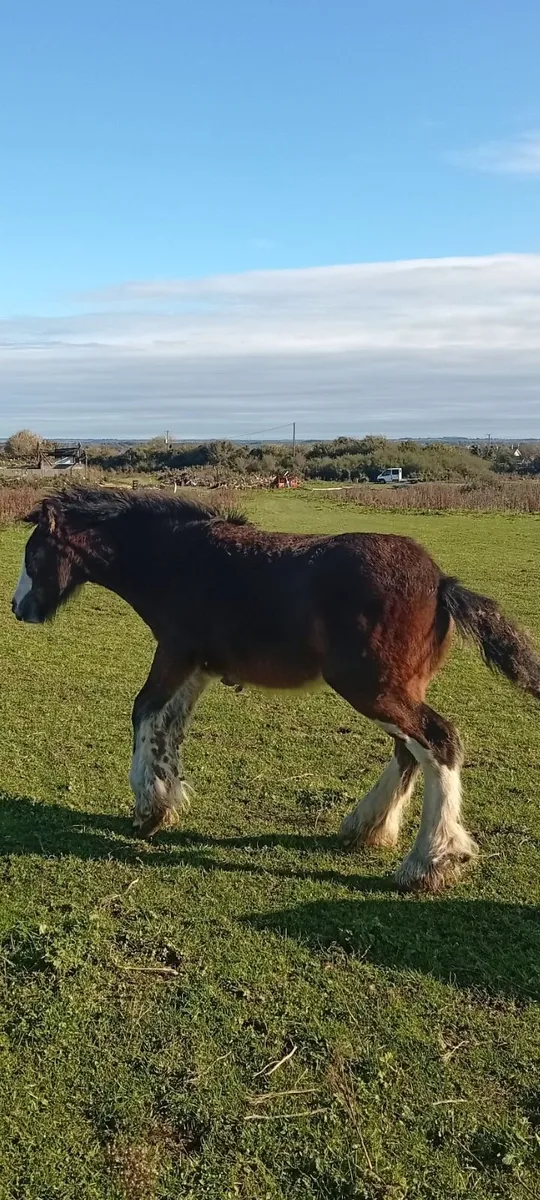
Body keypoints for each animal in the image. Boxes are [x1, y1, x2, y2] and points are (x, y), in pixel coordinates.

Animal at [12, 487, 540, 892]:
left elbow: (144, 710)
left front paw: (148, 807)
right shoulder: (199, 666)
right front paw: (166, 800)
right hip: (394, 687)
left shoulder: (175, 652)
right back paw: (367, 827)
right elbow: (171, 725)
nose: (19, 608)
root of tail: (442, 583)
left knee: (439, 741)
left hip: (370, 687)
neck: (176, 559)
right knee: (410, 751)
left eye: (34, 555)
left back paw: (430, 862)